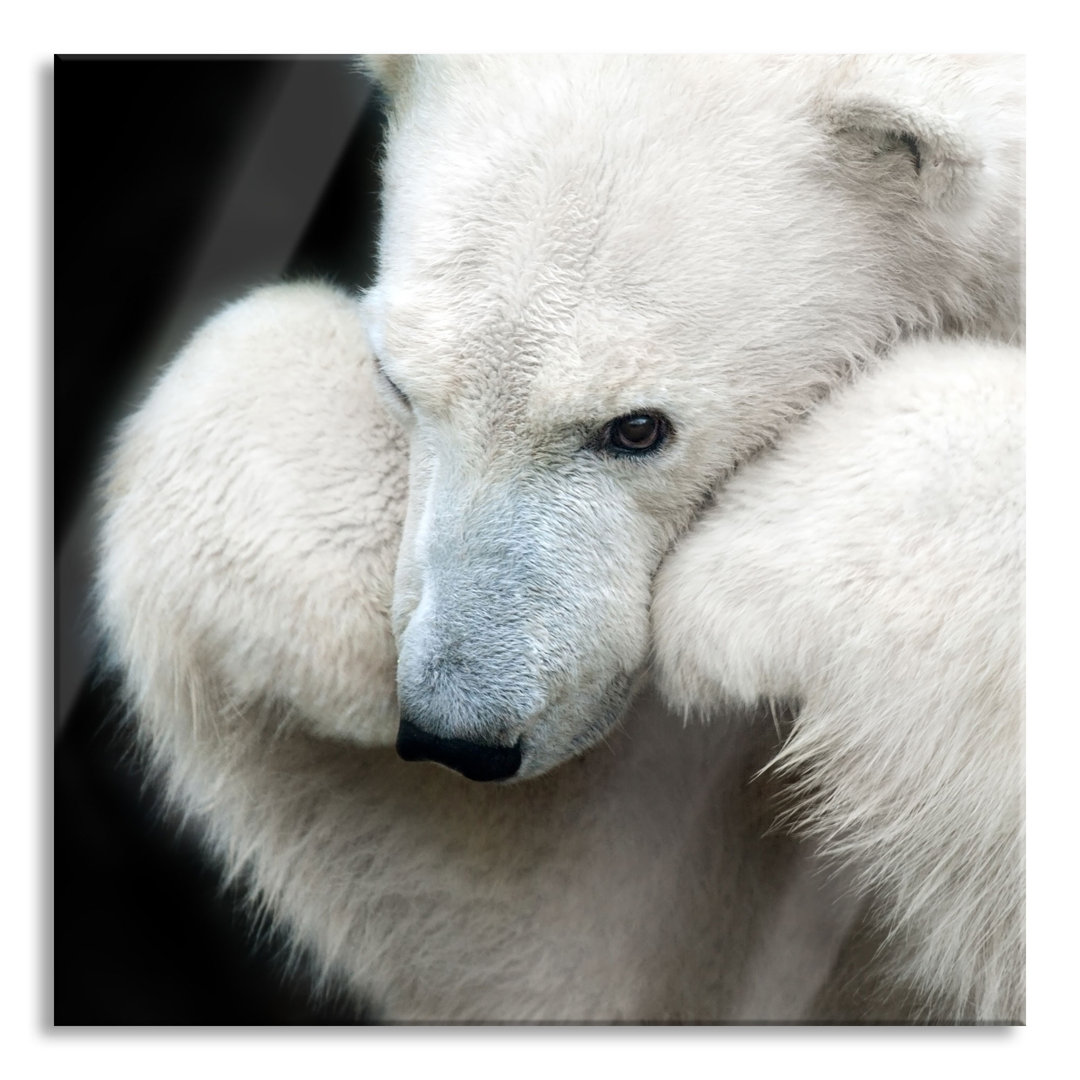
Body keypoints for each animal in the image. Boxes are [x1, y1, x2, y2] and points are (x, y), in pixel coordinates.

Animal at [92, 56, 1019, 1019]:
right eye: (397, 381)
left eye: (638, 428)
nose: (458, 734)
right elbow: (596, 950)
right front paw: (328, 636)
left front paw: (743, 586)